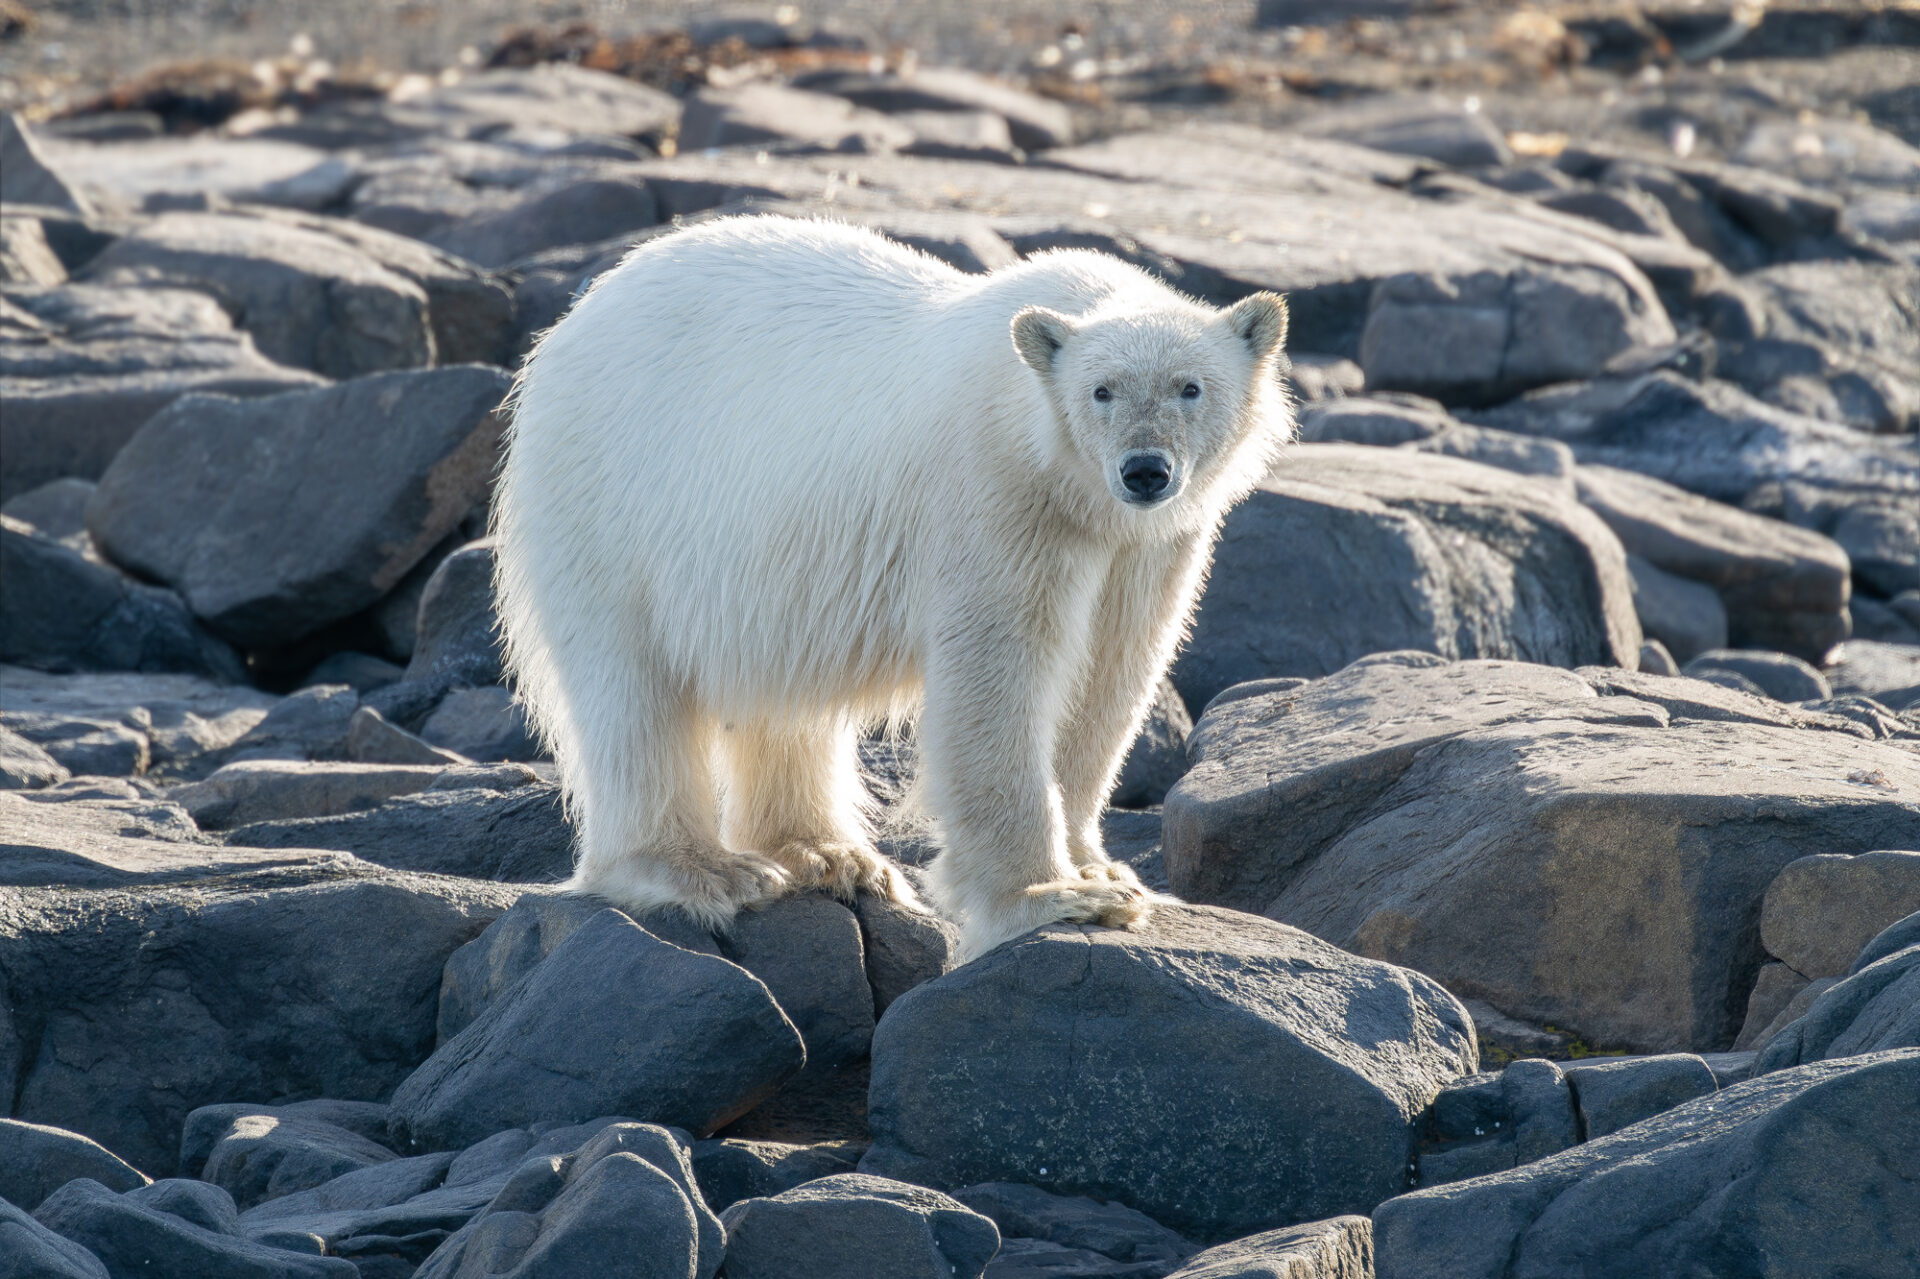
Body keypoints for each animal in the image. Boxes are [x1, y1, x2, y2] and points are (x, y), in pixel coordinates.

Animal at [499, 214, 1290, 952]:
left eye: (1191, 387)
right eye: (1102, 391)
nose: (1145, 470)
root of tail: (577, 318)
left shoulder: (1145, 545)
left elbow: (1111, 672)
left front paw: (1103, 869)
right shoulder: (995, 492)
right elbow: (1000, 670)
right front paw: (1053, 896)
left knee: (780, 692)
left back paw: (829, 856)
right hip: (611, 496)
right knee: (631, 687)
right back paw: (703, 871)